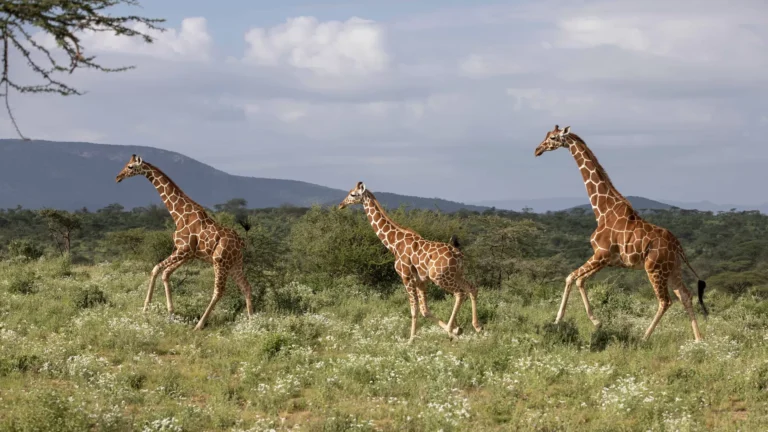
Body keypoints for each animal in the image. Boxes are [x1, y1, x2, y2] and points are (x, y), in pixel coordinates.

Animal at [115, 154, 254, 330]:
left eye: (130, 167)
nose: (118, 177)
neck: (179, 214)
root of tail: (241, 242)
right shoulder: (186, 253)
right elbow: (165, 273)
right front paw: (170, 312)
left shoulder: (183, 250)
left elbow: (156, 269)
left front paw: (145, 309)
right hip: (235, 263)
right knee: (246, 287)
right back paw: (253, 323)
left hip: (220, 261)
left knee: (219, 291)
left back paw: (199, 325)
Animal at [338, 182, 482, 343]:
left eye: (353, 194)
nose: (341, 205)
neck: (394, 244)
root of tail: (458, 254)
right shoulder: (421, 280)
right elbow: (425, 310)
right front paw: (456, 330)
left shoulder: (406, 277)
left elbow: (414, 310)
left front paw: (410, 340)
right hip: (456, 274)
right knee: (472, 288)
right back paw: (476, 327)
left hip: (440, 277)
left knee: (460, 293)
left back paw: (453, 329)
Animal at [533, 125, 708, 341]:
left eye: (553, 137)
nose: (537, 150)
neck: (603, 210)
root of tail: (678, 246)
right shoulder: (606, 259)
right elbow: (580, 280)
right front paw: (597, 322)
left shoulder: (600, 254)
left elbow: (570, 277)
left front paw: (558, 320)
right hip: (673, 268)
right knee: (685, 295)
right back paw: (698, 339)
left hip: (655, 268)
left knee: (665, 301)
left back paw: (644, 337)